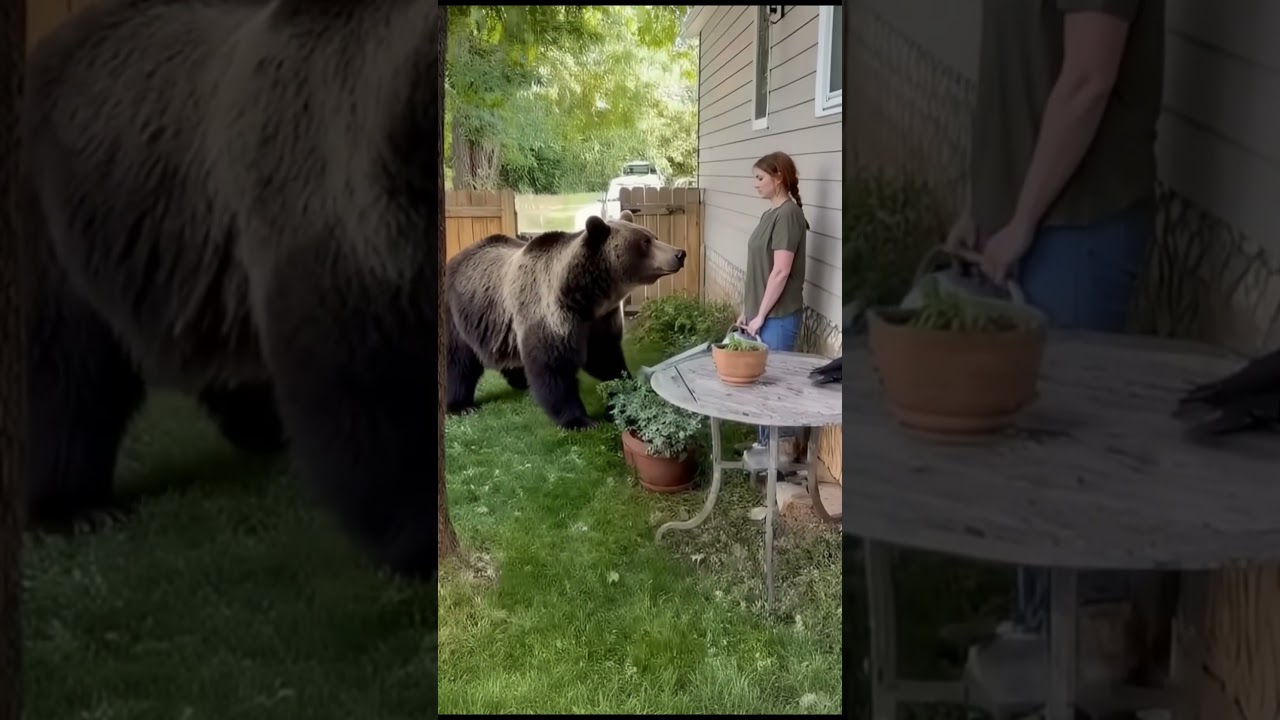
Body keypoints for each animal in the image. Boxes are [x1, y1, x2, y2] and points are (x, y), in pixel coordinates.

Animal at [19, 0, 440, 579]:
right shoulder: (337, 215)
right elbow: (370, 383)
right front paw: (418, 541)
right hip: (62, 219)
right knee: (67, 368)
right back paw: (77, 507)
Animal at [444, 211, 686, 430]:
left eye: (653, 236)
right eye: (645, 242)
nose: (679, 253)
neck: (588, 296)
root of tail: (455, 258)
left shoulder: (599, 320)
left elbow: (605, 358)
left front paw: (624, 389)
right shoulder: (552, 315)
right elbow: (554, 369)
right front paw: (580, 420)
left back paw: (520, 381)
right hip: (459, 315)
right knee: (459, 363)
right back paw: (461, 405)